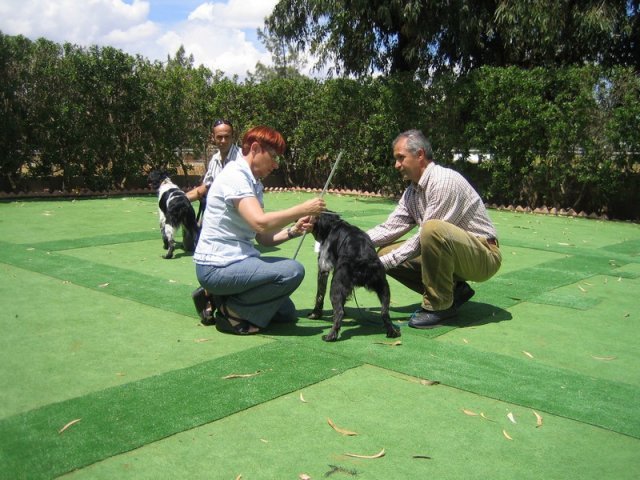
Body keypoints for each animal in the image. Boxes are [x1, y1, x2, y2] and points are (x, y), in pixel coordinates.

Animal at [308, 213, 400, 342]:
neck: (333, 224)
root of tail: (364, 260)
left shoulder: (323, 268)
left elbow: (320, 295)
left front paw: (315, 314)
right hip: (384, 288)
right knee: (385, 313)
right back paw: (392, 331)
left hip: (336, 285)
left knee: (339, 312)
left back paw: (330, 335)